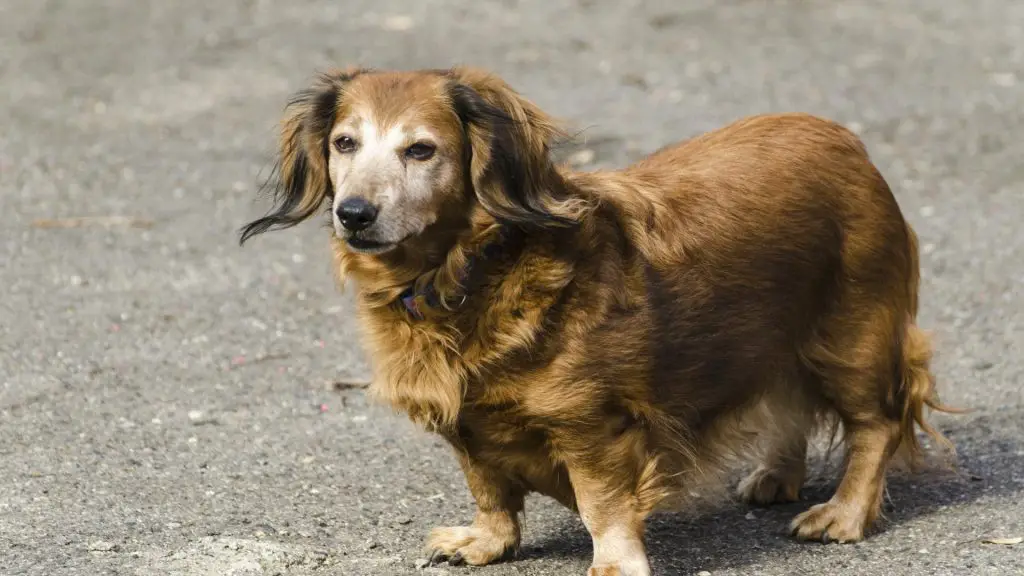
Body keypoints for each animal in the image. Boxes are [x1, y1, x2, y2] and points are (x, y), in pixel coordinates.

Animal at [237, 66, 950, 569]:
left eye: (420, 151)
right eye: (344, 143)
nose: (354, 214)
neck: (467, 276)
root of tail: (844, 140)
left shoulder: (592, 425)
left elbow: (602, 503)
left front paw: (613, 562)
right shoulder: (467, 422)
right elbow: (488, 487)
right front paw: (487, 540)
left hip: (849, 335)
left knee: (876, 425)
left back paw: (844, 513)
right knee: (785, 399)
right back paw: (778, 474)